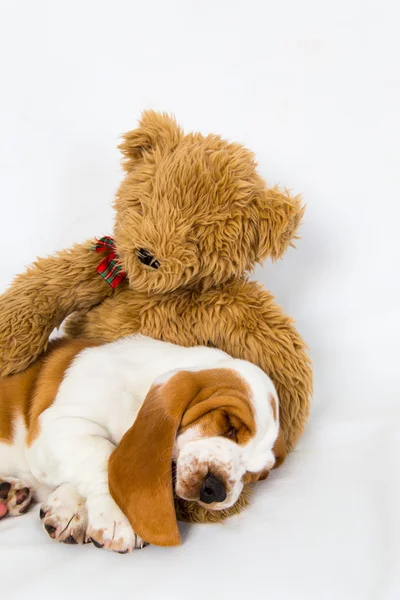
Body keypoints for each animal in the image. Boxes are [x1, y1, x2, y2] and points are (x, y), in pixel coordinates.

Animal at [1, 336, 286, 552]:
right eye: (228, 425)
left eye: (254, 474)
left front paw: (71, 509)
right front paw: (118, 517)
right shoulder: (57, 426)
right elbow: (104, 455)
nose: (215, 489)